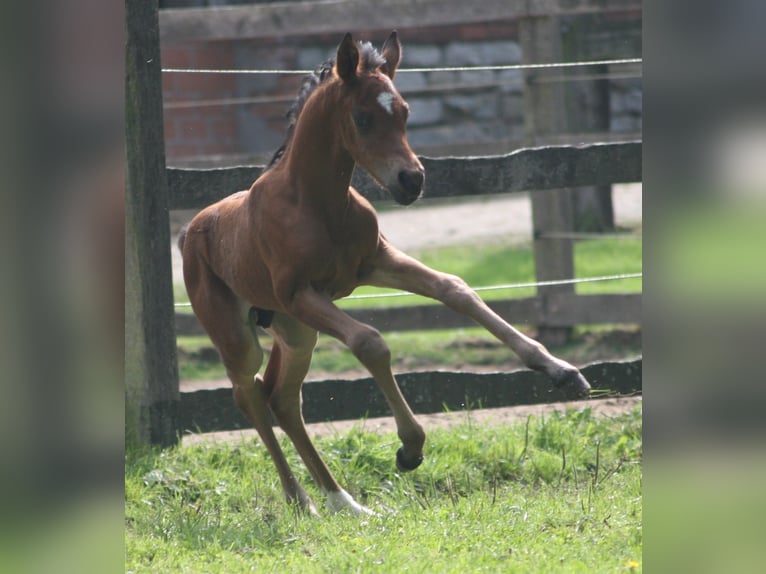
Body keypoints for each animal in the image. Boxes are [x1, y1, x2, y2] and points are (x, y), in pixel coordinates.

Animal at [182, 31, 592, 516]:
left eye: (405, 112)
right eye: (362, 117)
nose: (411, 180)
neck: (318, 204)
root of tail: (191, 229)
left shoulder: (375, 262)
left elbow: (456, 290)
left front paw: (561, 370)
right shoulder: (300, 291)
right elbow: (370, 342)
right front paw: (410, 448)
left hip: (295, 329)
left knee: (281, 398)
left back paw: (344, 503)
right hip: (242, 333)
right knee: (249, 395)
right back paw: (301, 499)